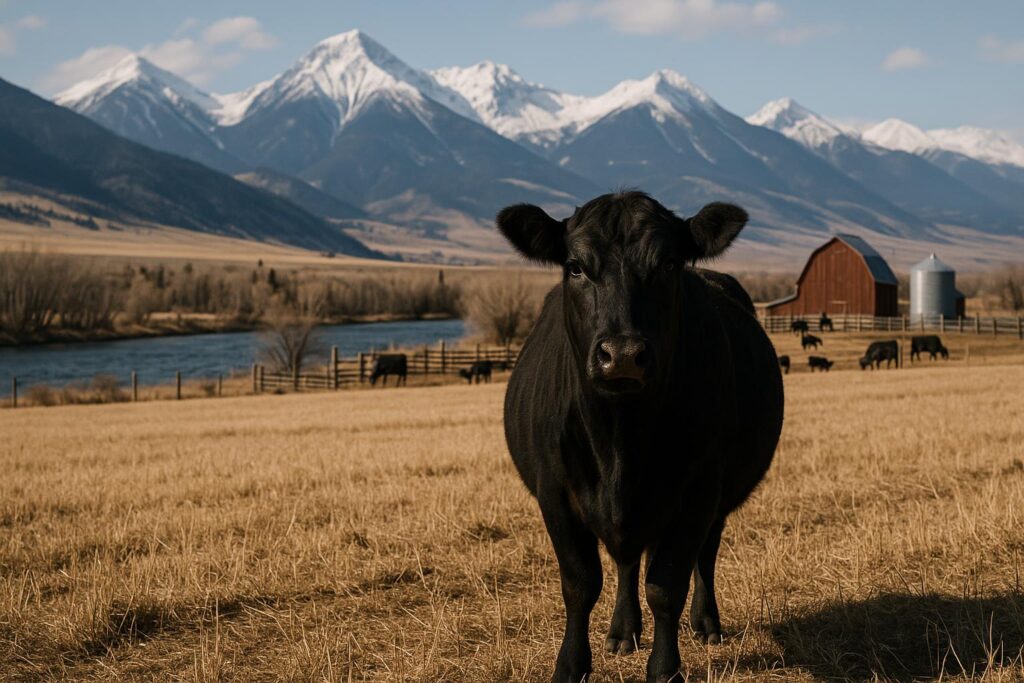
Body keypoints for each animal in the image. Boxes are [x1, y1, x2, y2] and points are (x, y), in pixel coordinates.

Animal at [497, 191, 784, 683]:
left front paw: (665, 669)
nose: (623, 355)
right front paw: (570, 665)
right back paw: (622, 630)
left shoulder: (699, 491)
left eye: (668, 264)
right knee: (627, 562)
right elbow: (580, 583)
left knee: (703, 556)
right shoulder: (554, 492)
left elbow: (667, 585)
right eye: (575, 266)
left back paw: (706, 623)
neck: (620, 440)